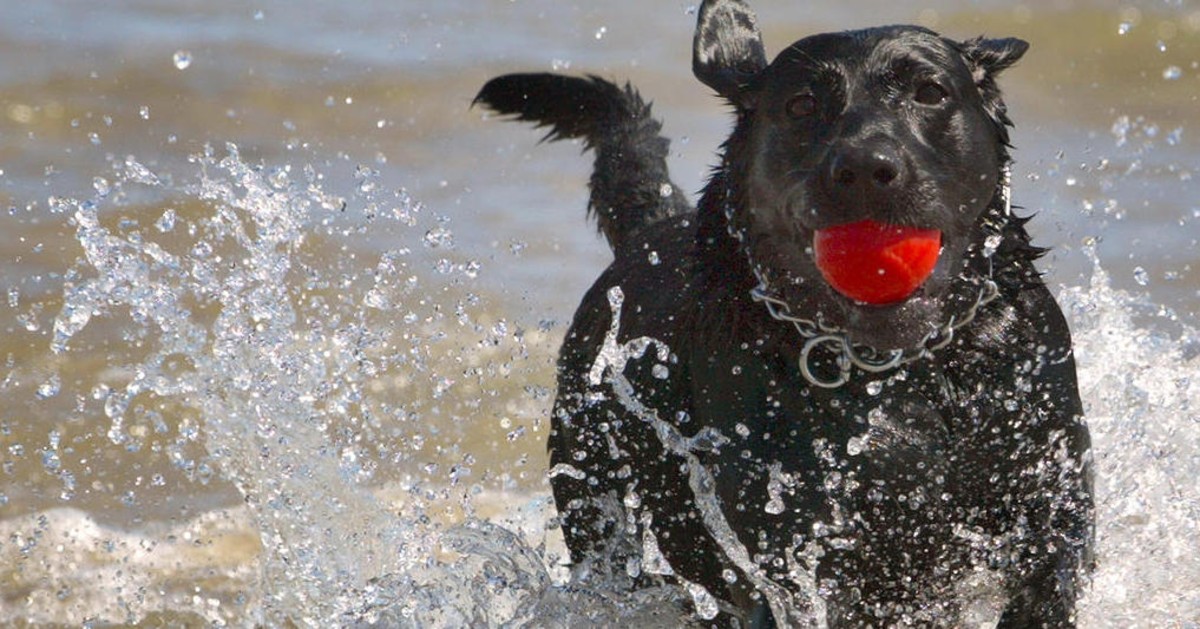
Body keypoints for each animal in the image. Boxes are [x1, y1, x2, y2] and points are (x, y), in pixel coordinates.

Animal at [475, 2, 1089, 624]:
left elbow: (1049, 573)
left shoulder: (1051, 487)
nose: (866, 167)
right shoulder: (795, 547)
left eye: (930, 92)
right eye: (802, 105)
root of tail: (650, 229)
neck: (900, 370)